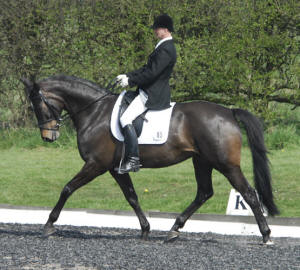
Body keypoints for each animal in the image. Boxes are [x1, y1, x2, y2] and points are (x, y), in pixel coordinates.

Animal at [20, 74, 278, 245]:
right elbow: (132, 197)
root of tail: (229, 112)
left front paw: (49, 225)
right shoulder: (115, 168)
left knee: (248, 194)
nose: (48, 137)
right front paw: (145, 229)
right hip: (202, 161)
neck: (94, 112)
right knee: (204, 193)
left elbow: (67, 188)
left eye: (37, 105)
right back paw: (174, 229)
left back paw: (266, 235)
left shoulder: (96, 164)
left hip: (226, 164)